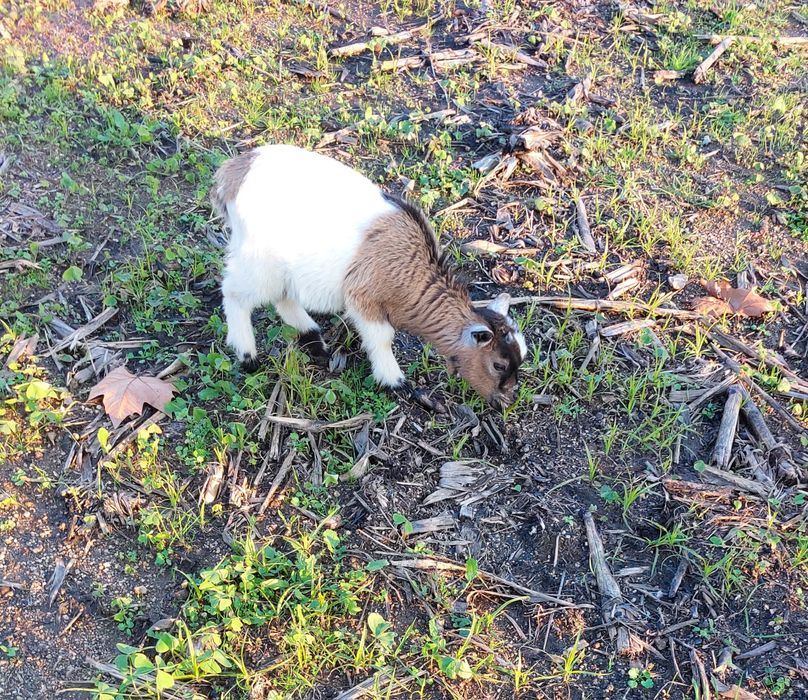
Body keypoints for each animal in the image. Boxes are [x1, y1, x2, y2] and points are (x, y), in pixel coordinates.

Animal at [211, 144, 527, 408]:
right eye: (498, 365)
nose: (507, 401)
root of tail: (233, 172)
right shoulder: (364, 297)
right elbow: (382, 338)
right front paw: (394, 381)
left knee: (283, 297)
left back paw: (314, 341)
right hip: (259, 258)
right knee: (234, 292)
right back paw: (247, 355)